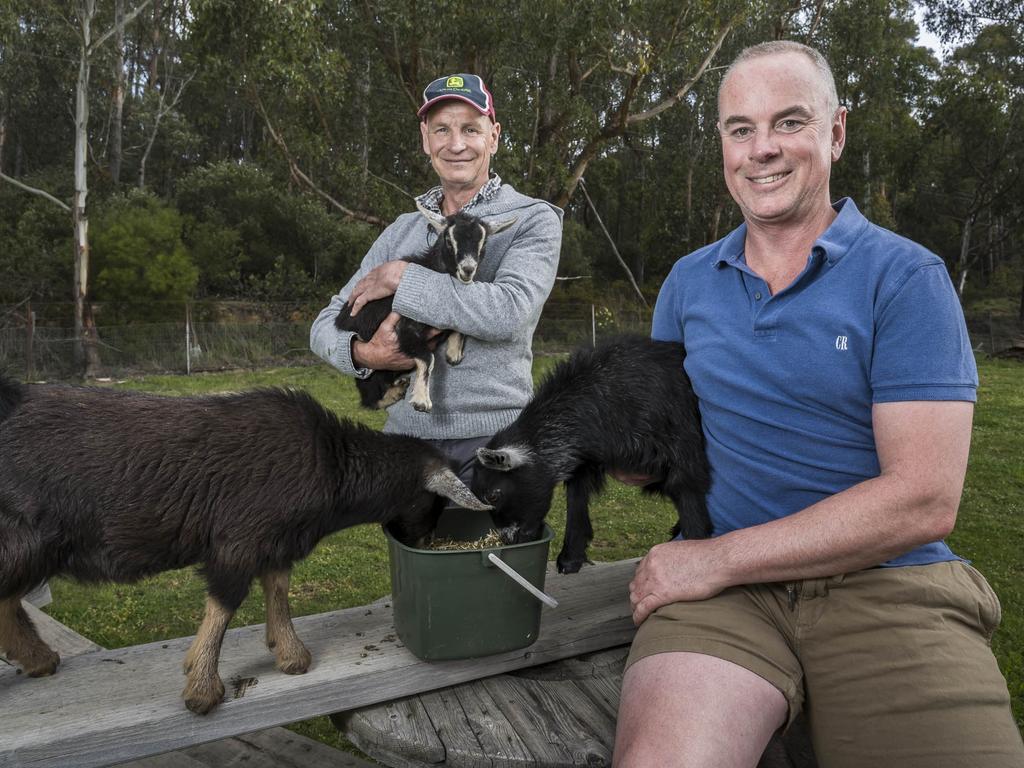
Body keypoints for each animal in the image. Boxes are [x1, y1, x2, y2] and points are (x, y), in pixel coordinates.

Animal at [0, 378, 491, 716]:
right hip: (26, 536)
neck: (331, 462)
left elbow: (277, 588)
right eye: (432, 503)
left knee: (8, 599)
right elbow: (224, 604)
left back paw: (38, 659)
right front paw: (202, 687)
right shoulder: (237, 540)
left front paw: (288, 652)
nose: (424, 543)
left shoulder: (275, 542)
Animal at [333, 201, 516, 411]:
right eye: (448, 240)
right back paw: (393, 393)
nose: (468, 269)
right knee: (369, 397)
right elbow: (428, 358)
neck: (432, 267)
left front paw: (453, 353)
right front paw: (421, 401)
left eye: (483, 243)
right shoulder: (404, 327)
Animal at [471, 333, 712, 573]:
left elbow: (692, 514)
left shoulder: (684, 457)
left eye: (493, 495)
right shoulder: (583, 461)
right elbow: (576, 498)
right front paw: (570, 558)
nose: (509, 540)